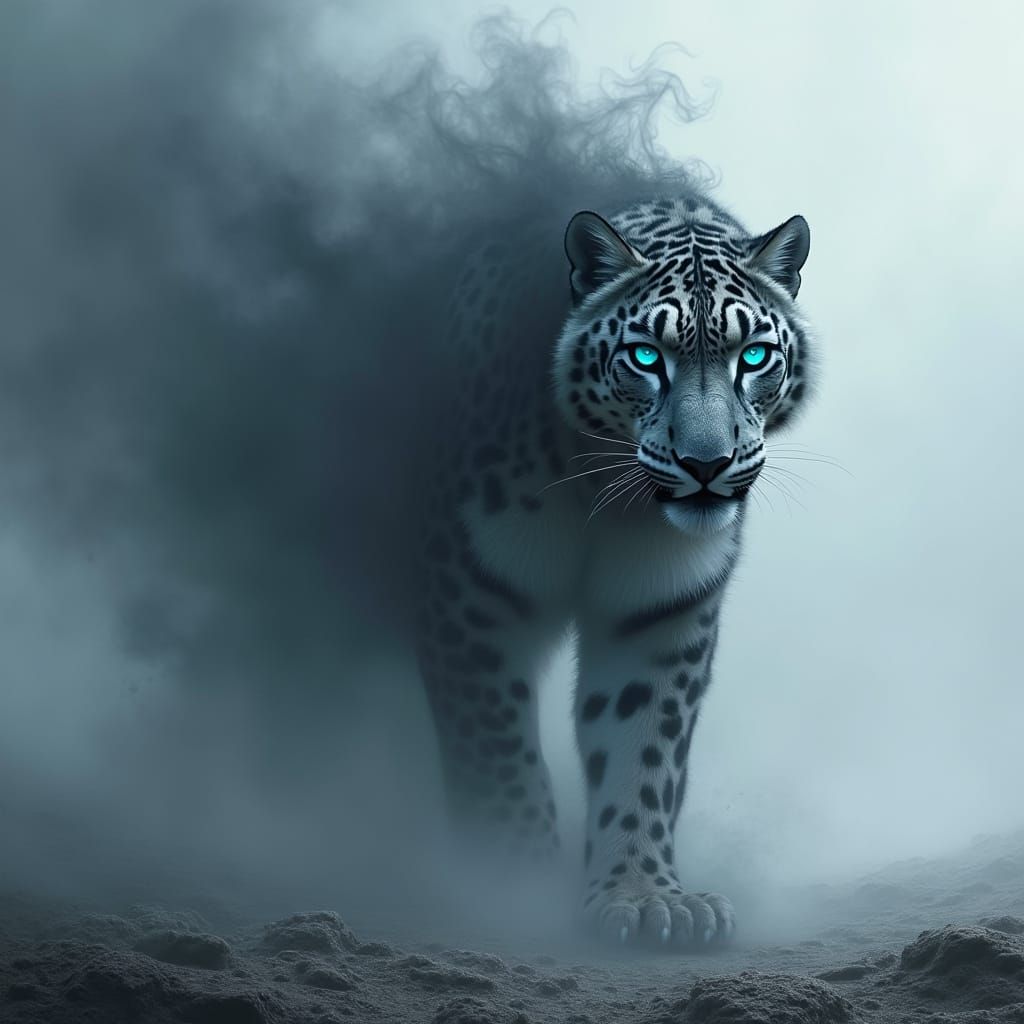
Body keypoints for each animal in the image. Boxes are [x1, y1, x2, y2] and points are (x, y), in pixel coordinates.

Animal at [414, 187, 814, 948]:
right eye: (645, 356)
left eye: (753, 356)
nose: (706, 464)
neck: (604, 497)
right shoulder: (473, 593)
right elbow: (497, 750)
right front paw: (510, 888)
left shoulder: (660, 615)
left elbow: (642, 751)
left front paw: (645, 896)